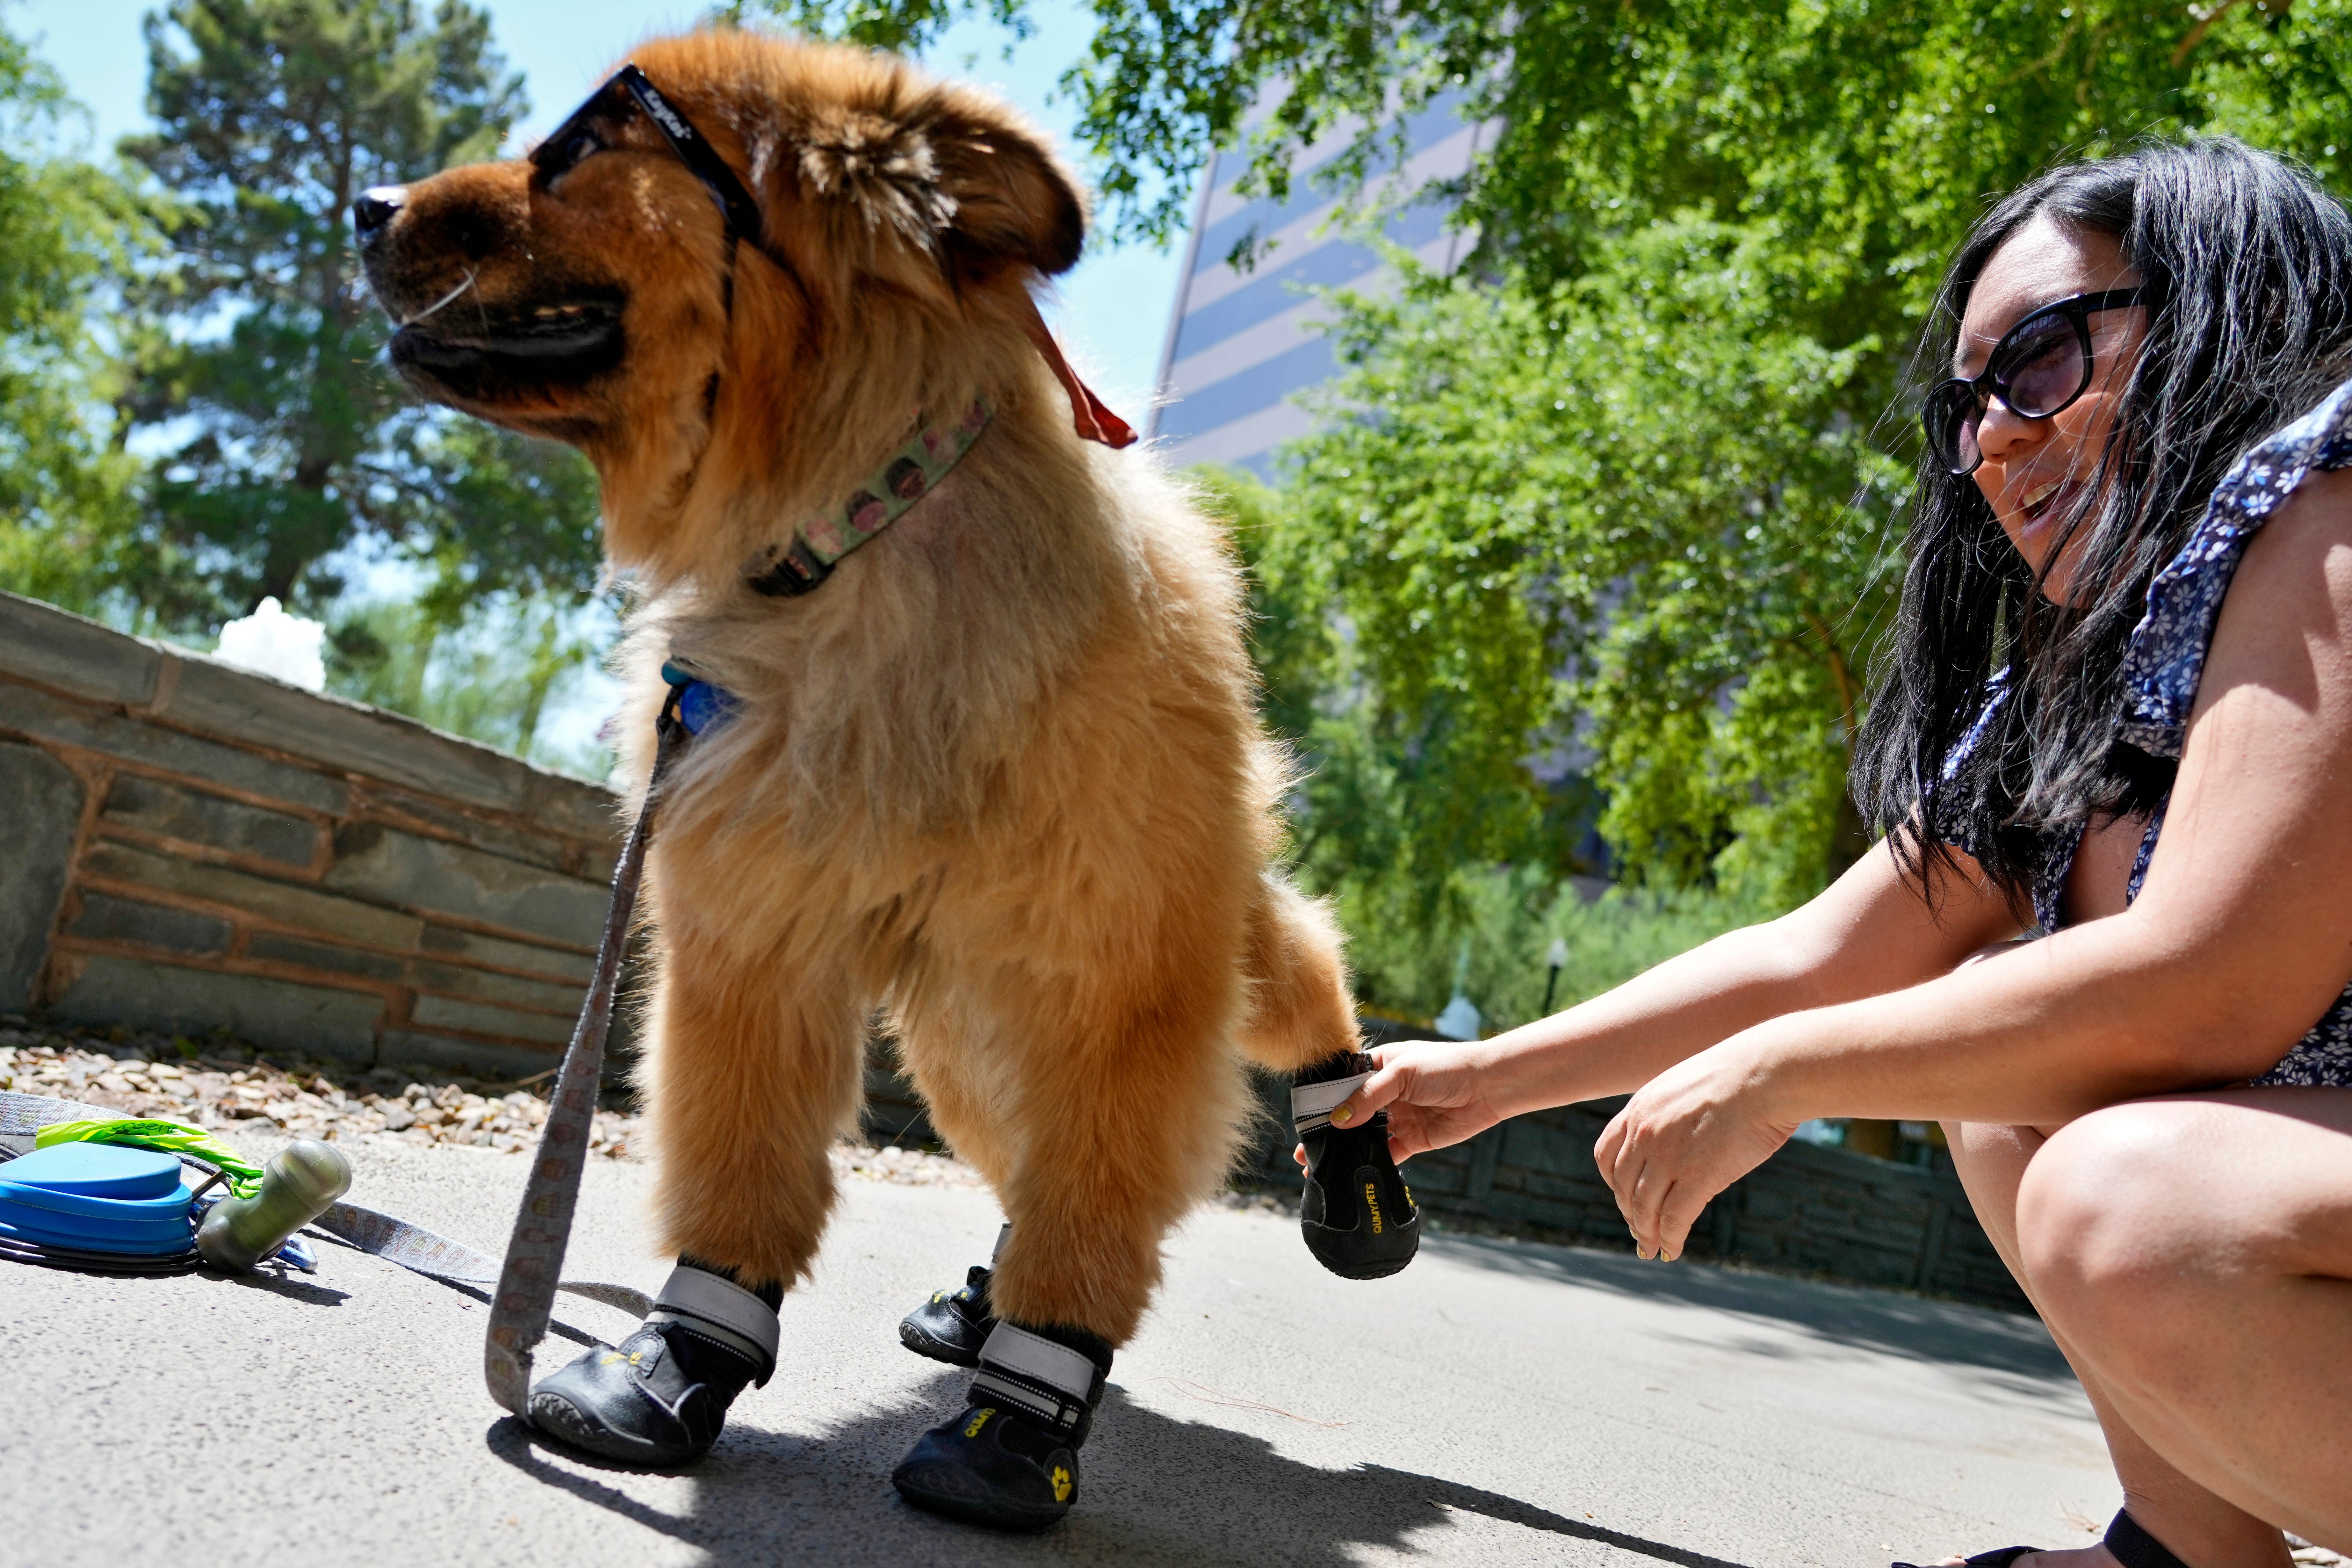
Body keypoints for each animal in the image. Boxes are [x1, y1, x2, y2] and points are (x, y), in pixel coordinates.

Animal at [357, 21, 1374, 1523]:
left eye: (584, 145)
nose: (367, 206)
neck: (850, 535)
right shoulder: (757, 940)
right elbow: (744, 1165)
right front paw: (677, 1359)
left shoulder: (1110, 981)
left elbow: (1093, 1221)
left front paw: (1023, 1413)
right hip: (962, 1040)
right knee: (1023, 1157)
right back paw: (979, 1295)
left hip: (1169, 947)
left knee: (1291, 984)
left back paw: (1354, 1159)